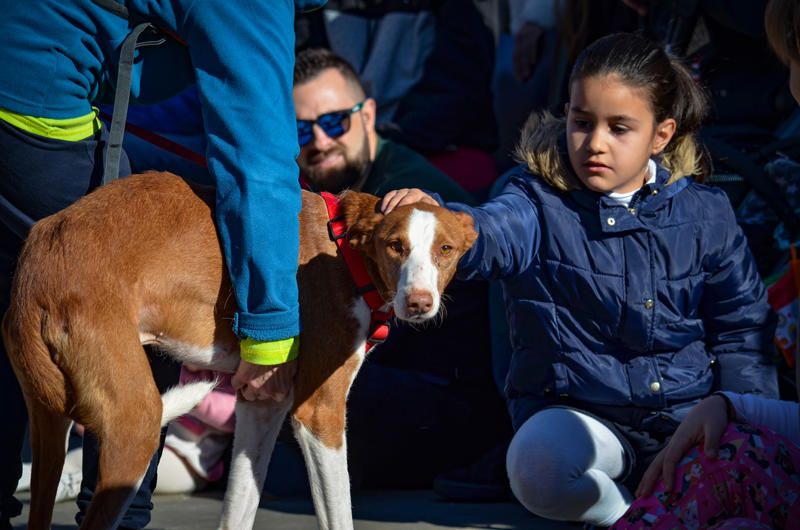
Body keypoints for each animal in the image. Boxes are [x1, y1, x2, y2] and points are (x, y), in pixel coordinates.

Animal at [1, 171, 476, 524]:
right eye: (396, 246)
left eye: (445, 250)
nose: (419, 303)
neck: (345, 249)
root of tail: (37, 260)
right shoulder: (318, 411)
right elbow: (338, 515)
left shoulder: (261, 402)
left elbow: (238, 508)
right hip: (135, 427)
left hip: (49, 423)